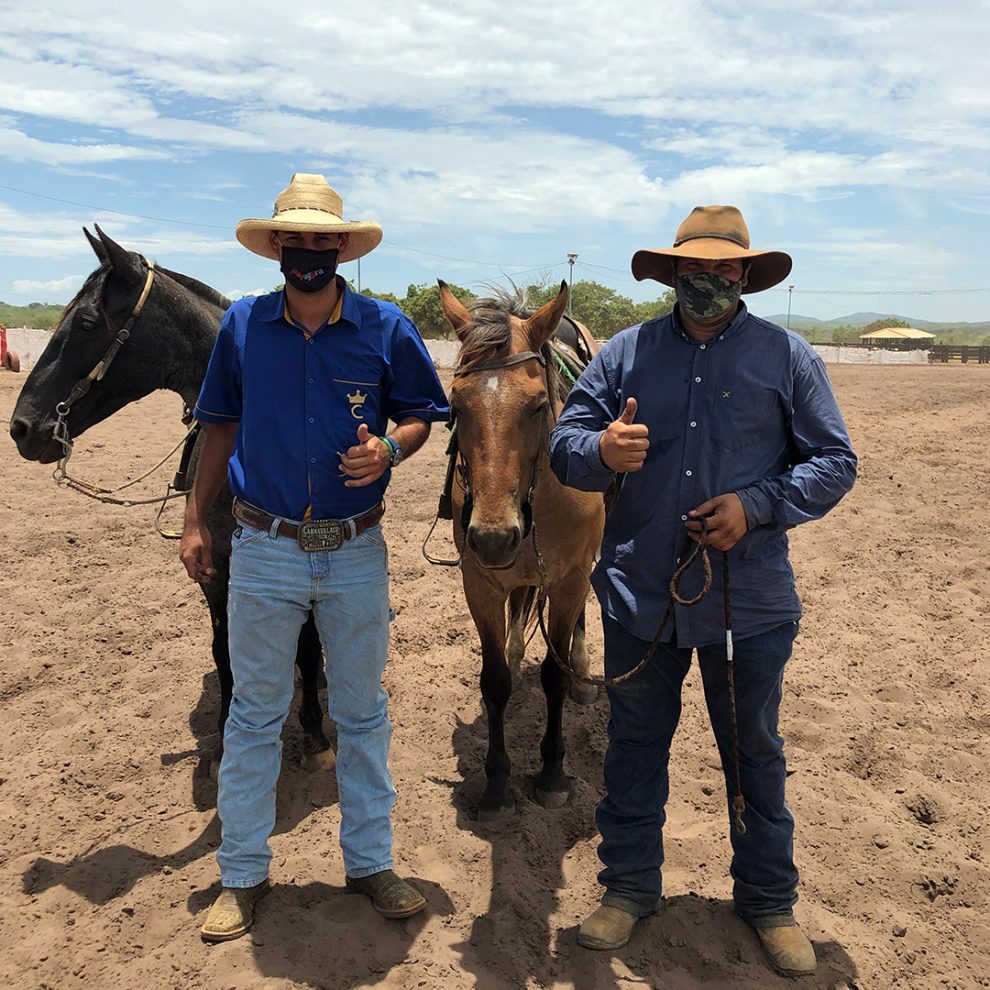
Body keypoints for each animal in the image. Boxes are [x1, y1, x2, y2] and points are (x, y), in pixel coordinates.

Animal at [7, 225, 332, 776]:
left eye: (88, 321)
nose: (22, 428)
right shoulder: (216, 564)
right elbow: (223, 646)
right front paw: (226, 728)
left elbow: (308, 646)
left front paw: (314, 731)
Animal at [440, 280, 608, 820]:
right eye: (456, 405)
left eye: (537, 405)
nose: (494, 536)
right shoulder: (480, 581)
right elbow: (493, 680)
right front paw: (496, 785)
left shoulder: (570, 577)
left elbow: (552, 675)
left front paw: (552, 774)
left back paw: (582, 675)